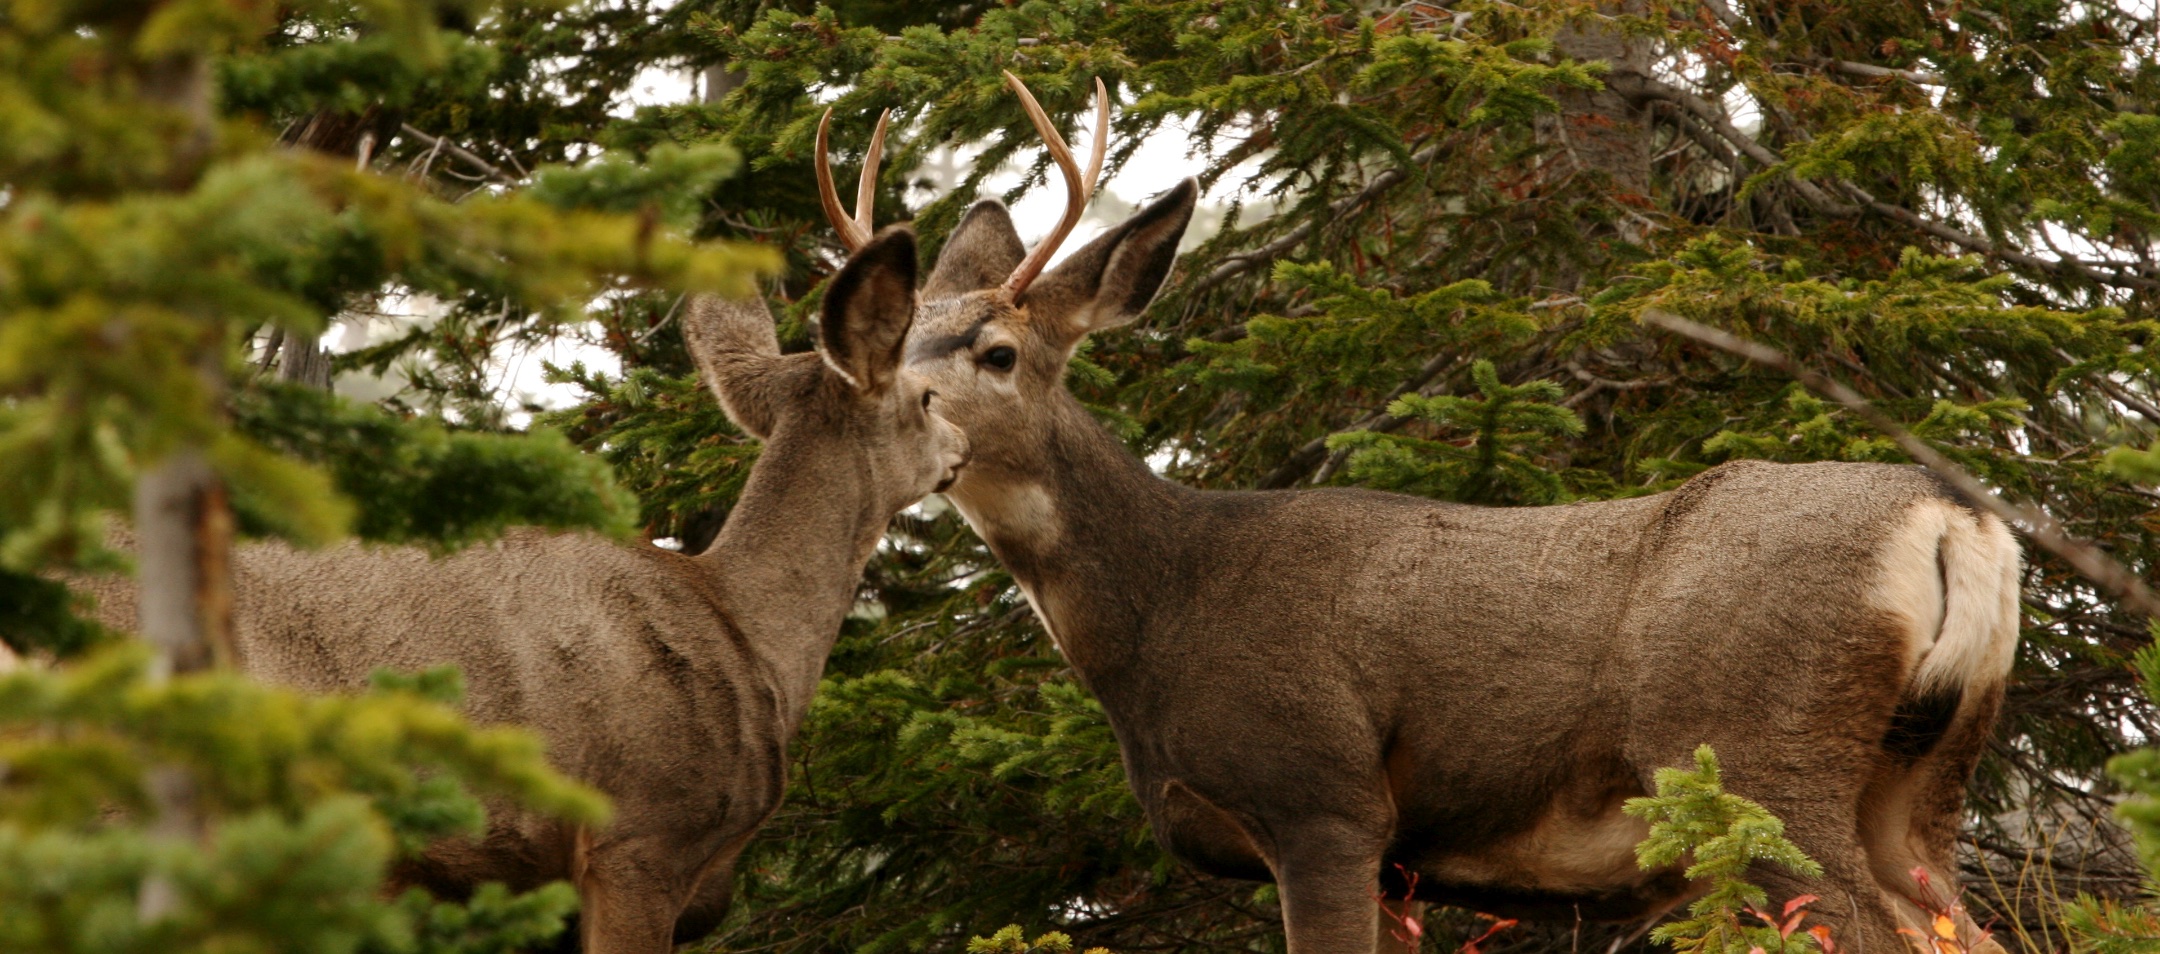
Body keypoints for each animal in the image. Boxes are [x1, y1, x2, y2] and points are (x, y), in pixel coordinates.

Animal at [885, 74, 2013, 954]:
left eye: (997, 353)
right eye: (891, 338)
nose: (889, 415)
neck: (1160, 605)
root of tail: (1955, 520)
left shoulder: (1324, 798)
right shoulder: (1400, 863)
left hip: (1758, 752)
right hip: (1922, 780)